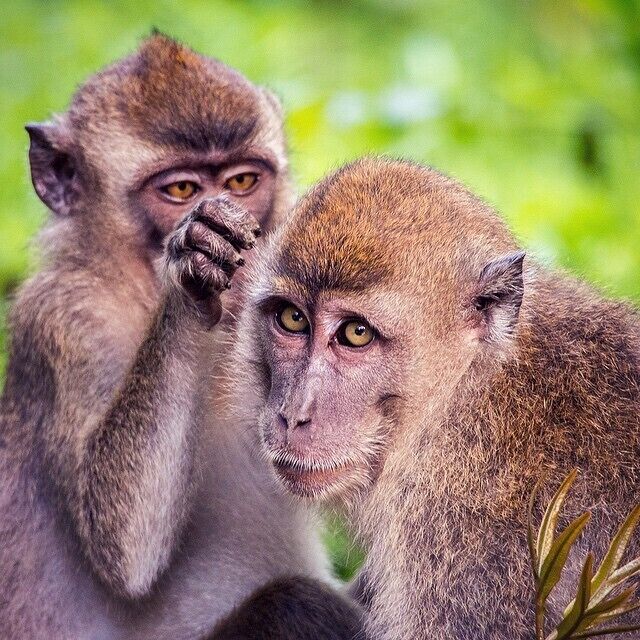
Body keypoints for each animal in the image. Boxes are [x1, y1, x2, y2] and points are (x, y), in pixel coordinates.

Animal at [0, 34, 362, 639]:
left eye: (242, 182)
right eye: (182, 189)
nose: (244, 248)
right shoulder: (63, 323)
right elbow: (120, 544)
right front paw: (193, 274)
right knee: (298, 605)